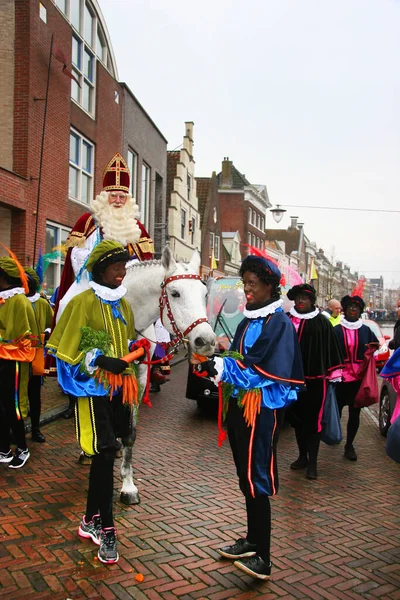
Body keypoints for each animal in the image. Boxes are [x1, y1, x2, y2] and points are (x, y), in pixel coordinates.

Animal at [119, 246, 216, 504]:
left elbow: (130, 432)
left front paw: (128, 485)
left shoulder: (139, 379)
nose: (206, 341)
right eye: (175, 293)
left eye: (205, 293)